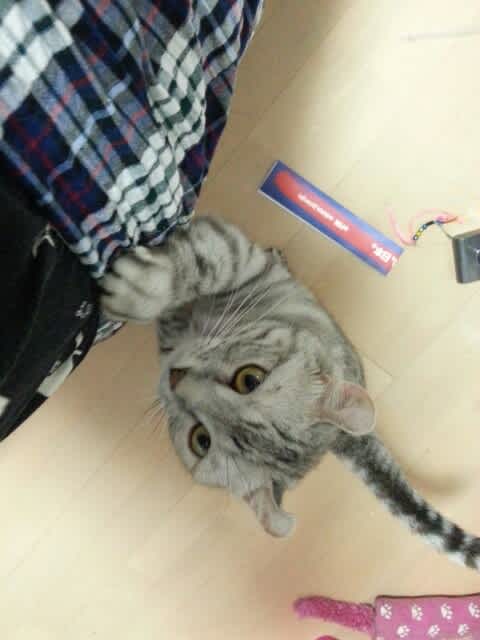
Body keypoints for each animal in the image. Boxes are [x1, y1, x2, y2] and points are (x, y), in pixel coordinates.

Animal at [100, 215, 480, 569]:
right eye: (201, 440)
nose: (176, 377)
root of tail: (345, 439)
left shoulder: (240, 260)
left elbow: (209, 260)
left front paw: (134, 290)